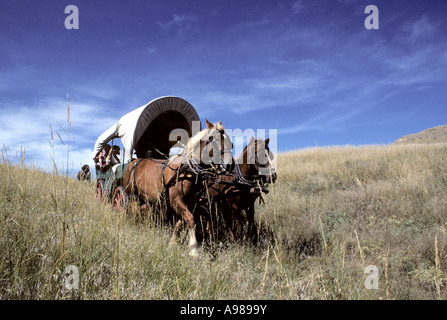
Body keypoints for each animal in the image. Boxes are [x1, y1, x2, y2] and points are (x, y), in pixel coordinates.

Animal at [123, 119, 234, 256]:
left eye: (231, 143)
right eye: (213, 139)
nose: (229, 165)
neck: (187, 170)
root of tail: (134, 162)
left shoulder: (189, 203)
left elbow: (180, 223)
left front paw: (172, 244)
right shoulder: (175, 199)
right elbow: (191, 220)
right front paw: (193, 249)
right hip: (131, 196)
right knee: (133, 212)